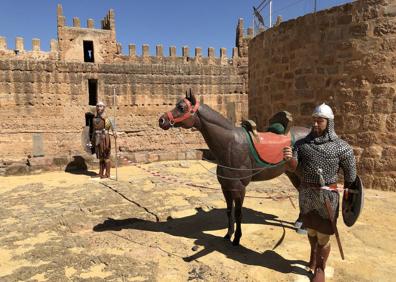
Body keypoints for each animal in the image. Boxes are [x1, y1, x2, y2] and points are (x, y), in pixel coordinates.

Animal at [159, 92, 310, 245]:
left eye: (182, 107)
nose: (162, 120)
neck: (229, 144)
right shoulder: (226, 186)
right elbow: (228, 210)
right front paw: (228, 234)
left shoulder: (239, 188)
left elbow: (238, 213)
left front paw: (237, 238)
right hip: (292, 174)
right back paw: (299, 222)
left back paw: (302, 226)